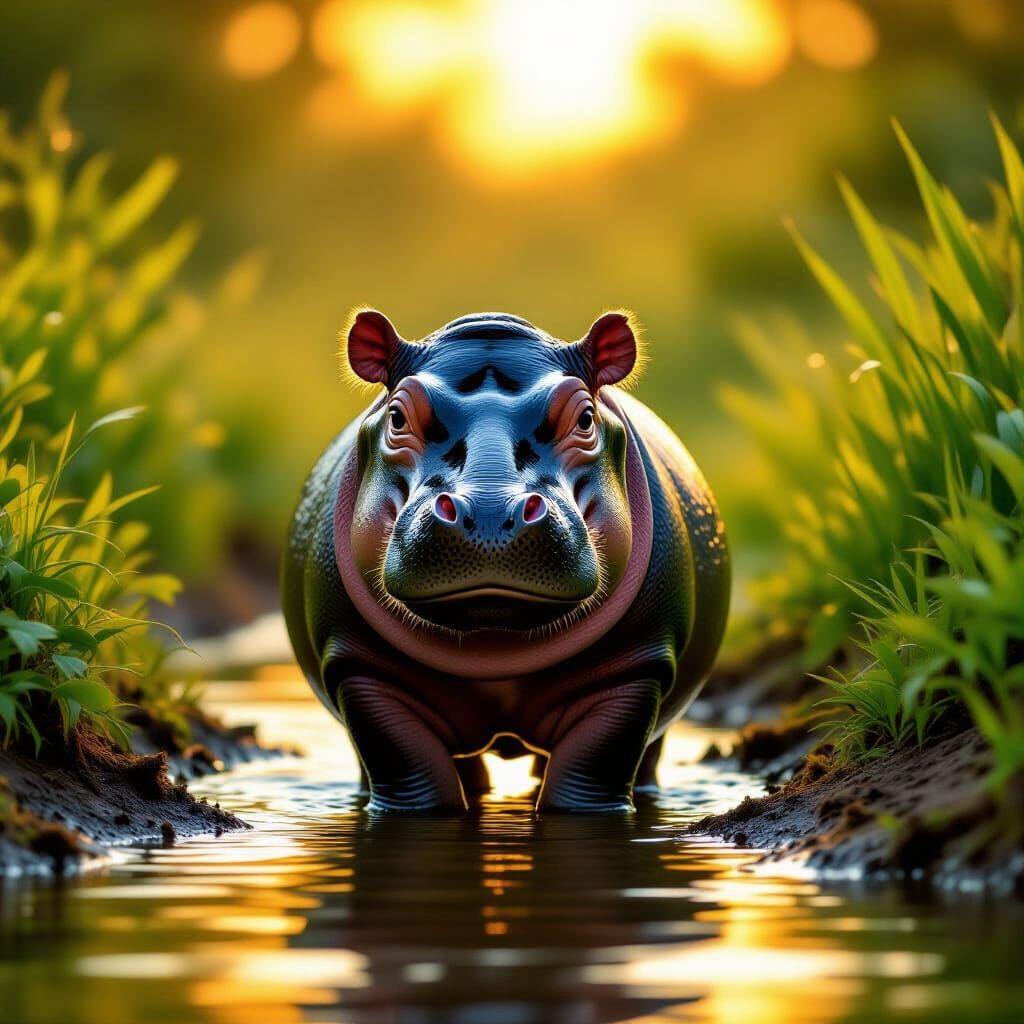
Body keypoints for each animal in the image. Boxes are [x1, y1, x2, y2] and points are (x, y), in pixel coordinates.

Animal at [282, 310, 729, 813]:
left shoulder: (635, 668)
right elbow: (415, 781)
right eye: (396, 416)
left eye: (586, 418)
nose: (491, 513)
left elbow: (586, 781)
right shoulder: (361, 668)